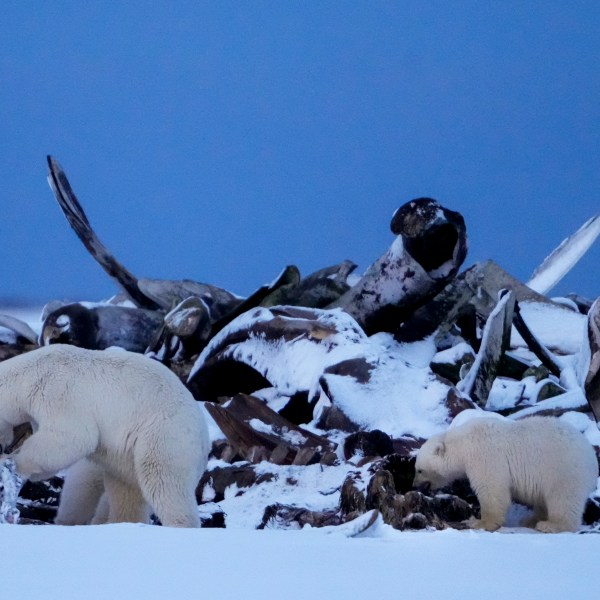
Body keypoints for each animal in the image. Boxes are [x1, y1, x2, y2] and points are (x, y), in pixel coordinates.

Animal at [0, 344, 209, 528]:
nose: (3, 446)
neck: (31, 374)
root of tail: (204, 438)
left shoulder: (58, 393)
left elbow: (74, 437)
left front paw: (14, 462)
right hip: (128, 457)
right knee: (126, 490)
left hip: (164, 434)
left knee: (162, 479)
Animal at [414, 414, 596, 532]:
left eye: (419, 470)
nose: (414, 485)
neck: (462, 444)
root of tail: (591, 453)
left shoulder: (484, 455)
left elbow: (492, 490)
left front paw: (479, 522)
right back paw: (530, 520)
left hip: (563, 469)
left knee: (563, 498)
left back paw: (551, 525)